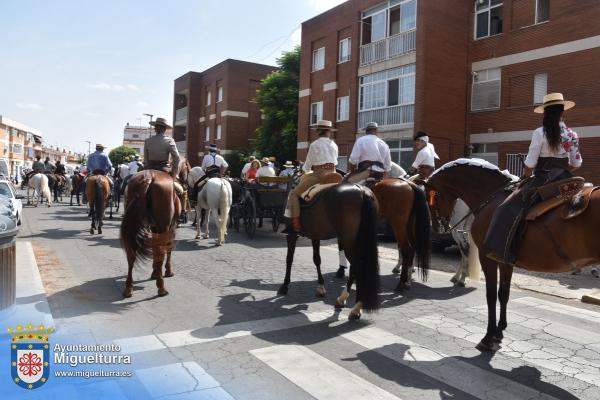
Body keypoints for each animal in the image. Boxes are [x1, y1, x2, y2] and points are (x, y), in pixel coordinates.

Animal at [119, 170, 180, 298]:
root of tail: (149, 178)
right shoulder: (171, 226)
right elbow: (168, 249)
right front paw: (167, 271)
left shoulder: (153, 227)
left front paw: (155, 271)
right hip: (164, 226)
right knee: (160, 252)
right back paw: (161, 287)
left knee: (131, 255)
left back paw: (128, 287)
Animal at [280, 183, 382, 320]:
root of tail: (361, 190)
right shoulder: (315, 235)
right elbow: (316, 259)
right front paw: (320, 287)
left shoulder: (291, 235)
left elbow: (289, 259)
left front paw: (284, 286)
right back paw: (353, 305)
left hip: (349, 241)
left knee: (356, 267)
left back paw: (349, 303)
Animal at [426, 158, 600, 352]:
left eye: (430, 196)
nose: (437, 226)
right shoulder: (504, 260)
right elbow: (504, 294)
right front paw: (499, 331)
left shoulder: (487, 258)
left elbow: (491, 295)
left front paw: (488, 337)